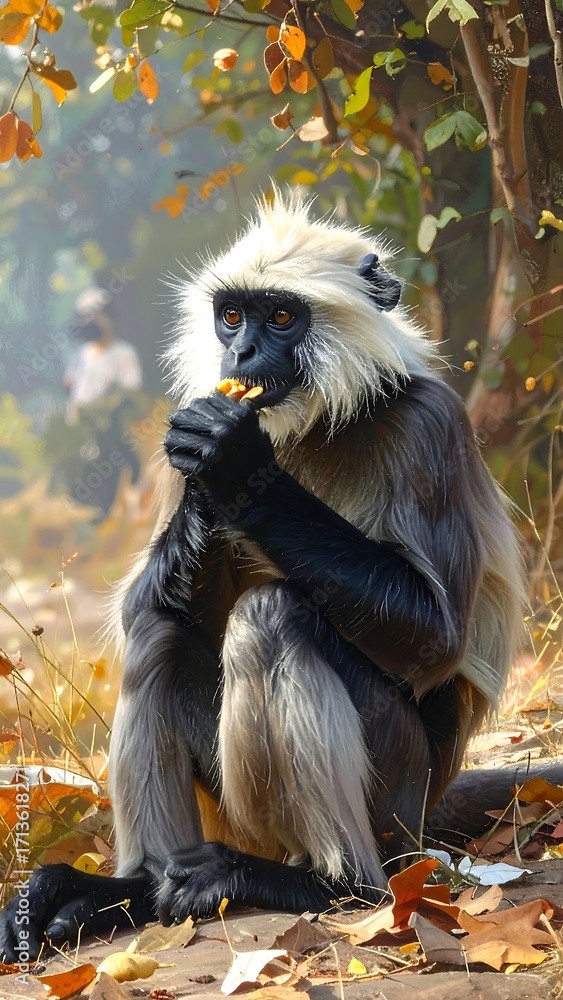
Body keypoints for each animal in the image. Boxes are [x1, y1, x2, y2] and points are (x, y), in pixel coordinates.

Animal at [0, 193, 536, 962]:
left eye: (279, 318)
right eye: (232, 317)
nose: (241, 354)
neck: (321, 422)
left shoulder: (429, 425)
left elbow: (435, 640)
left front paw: (233, 461)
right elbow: (141, 610)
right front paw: (209, 483)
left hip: (396, 803)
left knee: (272, 618)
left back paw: (328, 884)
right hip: (232, 805)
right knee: (161, 631)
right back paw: (132, 889)